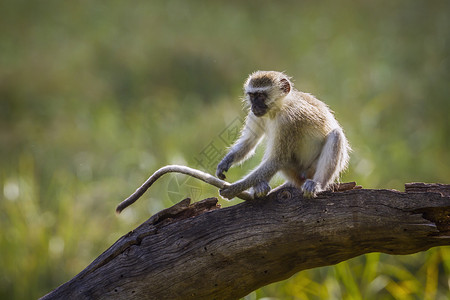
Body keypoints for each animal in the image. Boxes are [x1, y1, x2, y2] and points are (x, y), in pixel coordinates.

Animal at [216, 70, 350, 199]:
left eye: (261, 95)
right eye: (252, 96)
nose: (254, 106)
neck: (277, 109)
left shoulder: (287, 121)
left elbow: (276, 160)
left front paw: (233, 189)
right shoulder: (255, 115)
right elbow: (250, 141)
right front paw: (225, 162)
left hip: (311, 171)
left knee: (336, 135)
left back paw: (317, 184)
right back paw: (260, 187)